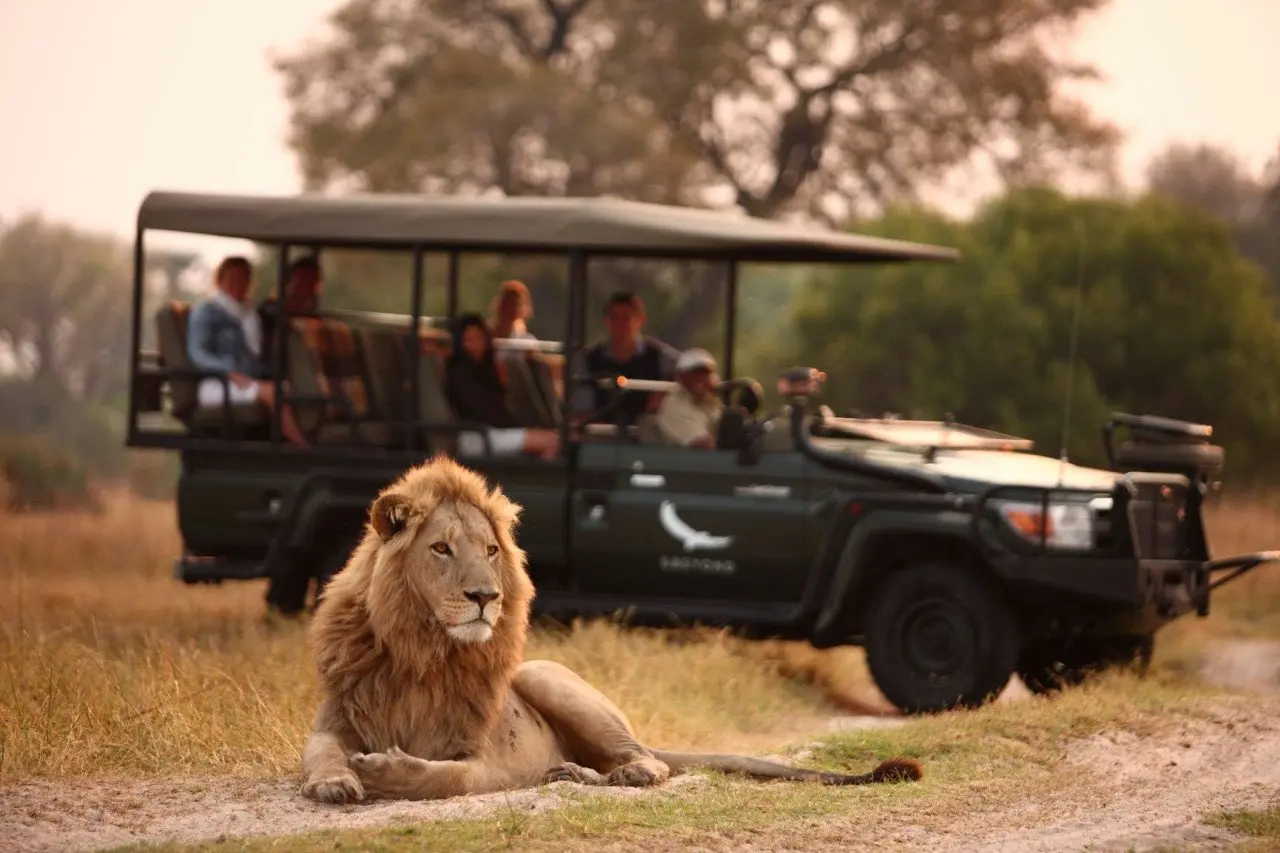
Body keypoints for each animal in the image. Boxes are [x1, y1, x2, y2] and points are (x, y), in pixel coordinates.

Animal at [299, 455, 921, 799]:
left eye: (491, 551)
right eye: (441, 549)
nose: (486, 597)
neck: (423, 651)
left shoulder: (491, 762)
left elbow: (447, 777)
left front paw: (387, 773)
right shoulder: (338, 717)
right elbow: (320, 750)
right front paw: (332, 780)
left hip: (548, 676)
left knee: (648, 759)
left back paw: (605, 776)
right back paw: (573, 774)